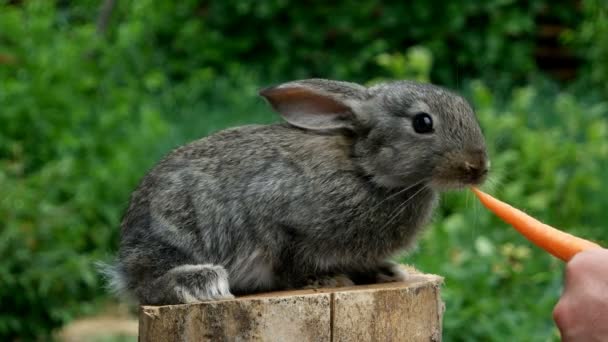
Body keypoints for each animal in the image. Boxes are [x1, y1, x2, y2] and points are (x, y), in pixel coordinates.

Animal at [104, 78, 486, 304]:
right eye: (423, 123)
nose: (479, 168)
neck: (366, 171)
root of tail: (125, 257)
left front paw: (386, 273)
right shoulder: (282, 225)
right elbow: (293, 263)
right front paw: (329, 280)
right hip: (173, 234)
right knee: (148, 287)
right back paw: (201, 283)